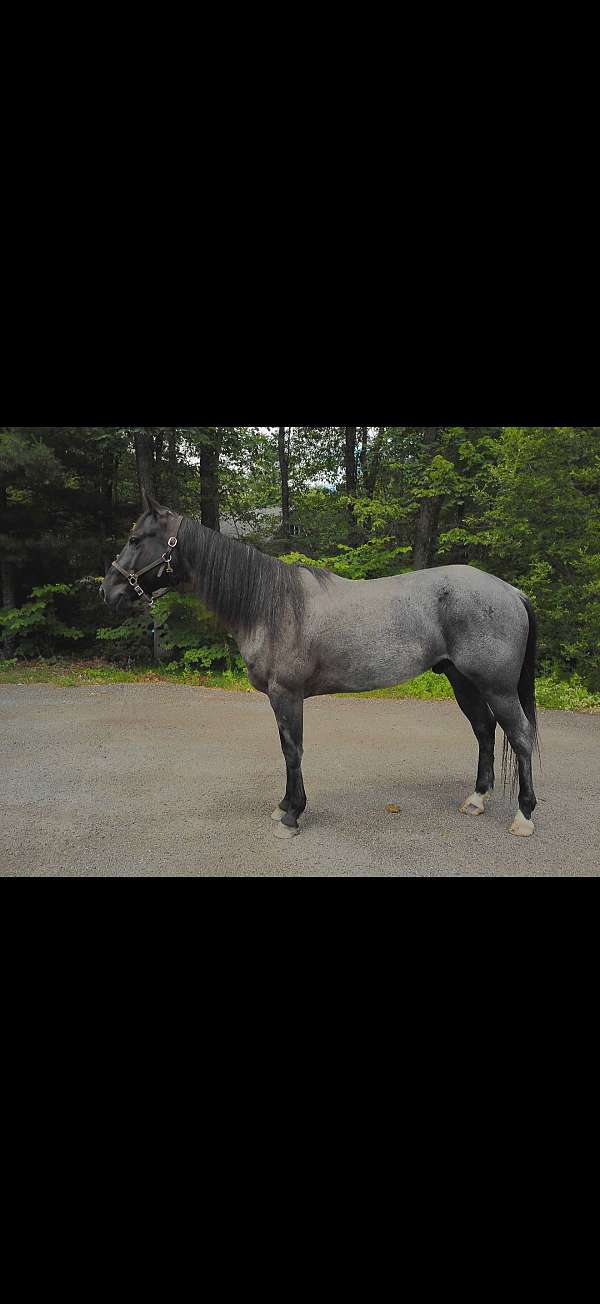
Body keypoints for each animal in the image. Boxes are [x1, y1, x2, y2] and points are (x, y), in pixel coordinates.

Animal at [100, 492, 539, 841]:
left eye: (135, 539)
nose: (108, 590)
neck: (270, 605)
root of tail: (511, 591)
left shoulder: (287, 695)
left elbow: (292, 750)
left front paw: (292, 816)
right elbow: (286, 750)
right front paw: (284, 806)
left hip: (497, 688)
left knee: (519, 736)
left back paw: (523, 815)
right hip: (462, 681)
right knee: (484, 731)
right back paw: (476, 800)